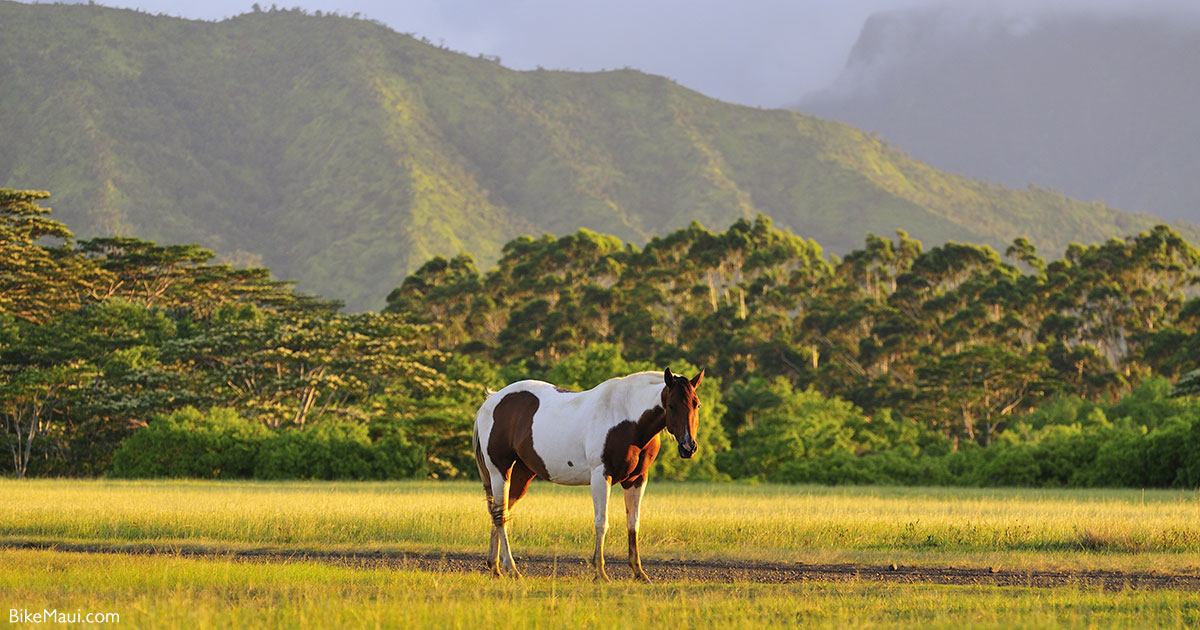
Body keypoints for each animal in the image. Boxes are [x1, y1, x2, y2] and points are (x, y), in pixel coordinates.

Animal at [470, 369, 700, 580]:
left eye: (696, 404)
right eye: (671, 405)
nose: (688, 447)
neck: (626, 417)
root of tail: (492, 401)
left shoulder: (637, 480)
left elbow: (633, 523)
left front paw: (639, 573)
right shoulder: (600, 476)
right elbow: (601, 522)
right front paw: (600, 572)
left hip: (521, 475)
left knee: (500, 512)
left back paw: (495, 567)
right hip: (500, 472)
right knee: (500, 516)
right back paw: (511, 569)